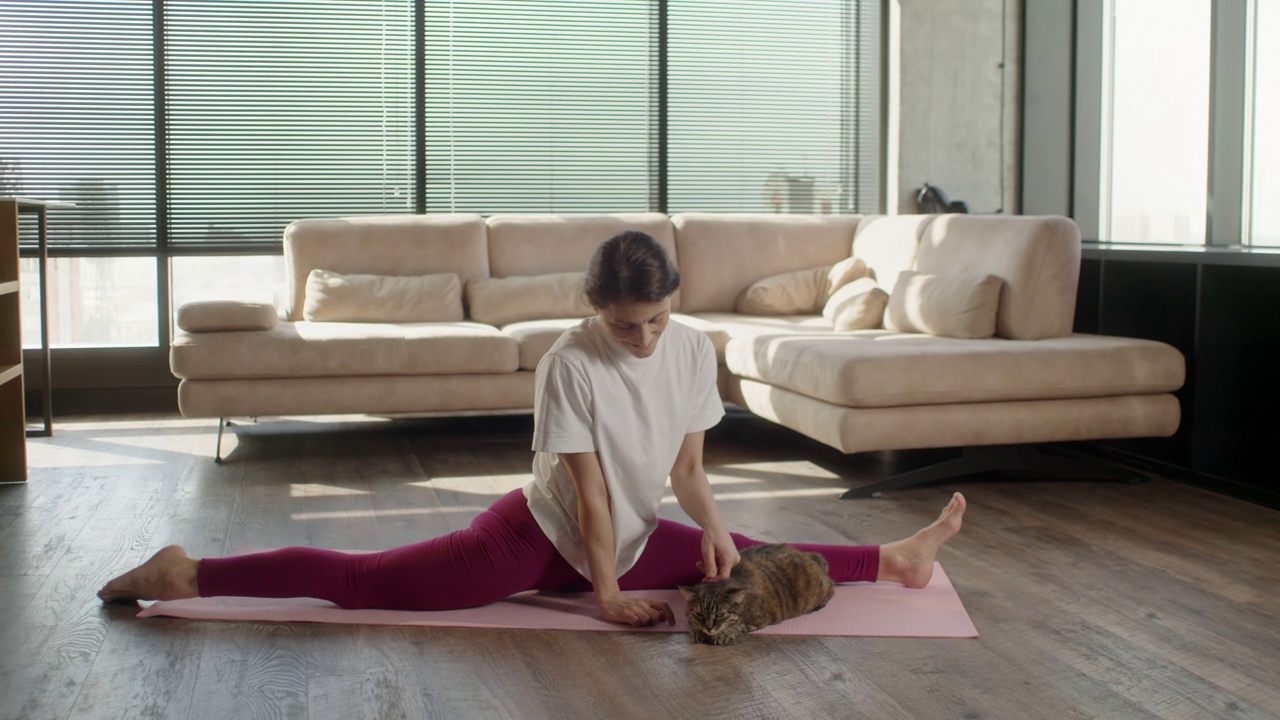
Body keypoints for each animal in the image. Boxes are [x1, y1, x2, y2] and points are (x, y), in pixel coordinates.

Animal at [675, 540, 834, 640]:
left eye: (721, 614)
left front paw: (724, 633)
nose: (708, 628)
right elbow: (692, 621)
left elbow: (739, 625)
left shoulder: (760, 619)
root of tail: (809, 555)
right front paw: (697, 630)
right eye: (700, 614)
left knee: (832, 587)